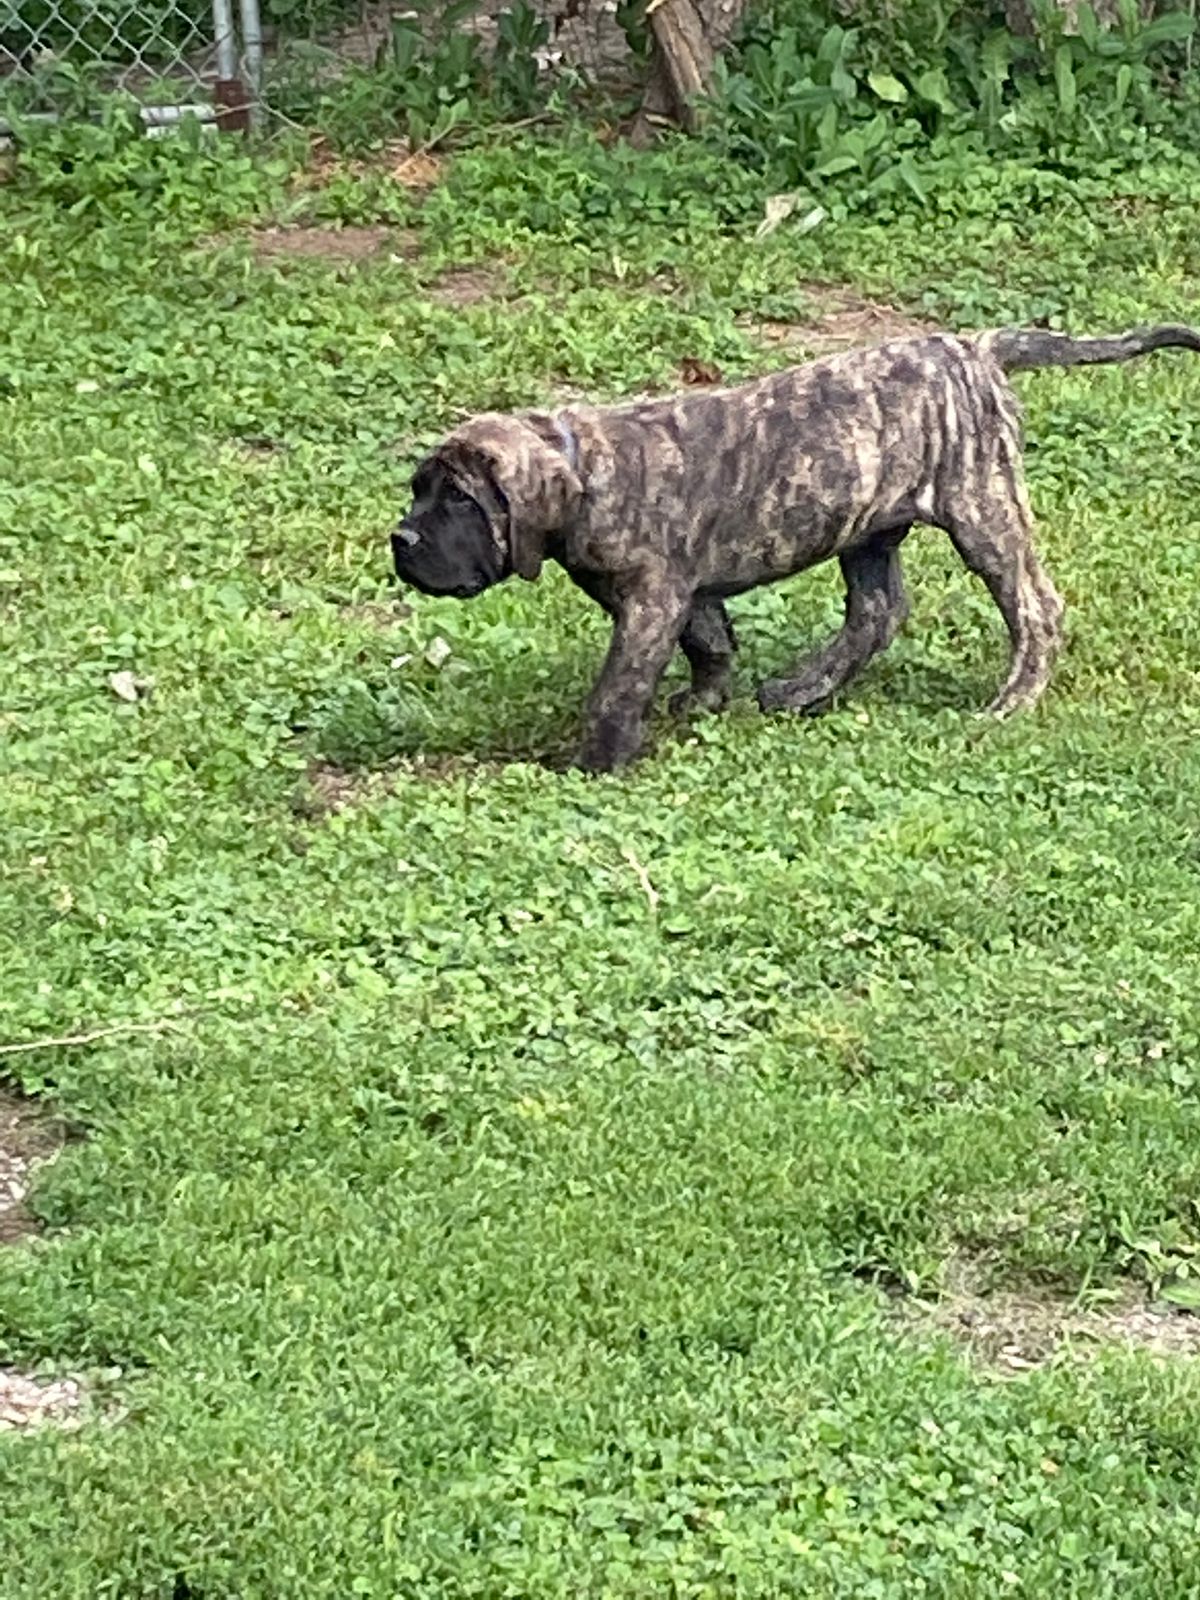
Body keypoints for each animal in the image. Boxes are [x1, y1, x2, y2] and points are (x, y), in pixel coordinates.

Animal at [392, 324, 1200, 771]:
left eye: (460, 501)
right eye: (417, 490)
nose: (400, 539)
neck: (584, 468)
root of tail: (973, 348)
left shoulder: (651, 600)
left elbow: (619, 685)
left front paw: (597, 762)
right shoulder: (684, 592)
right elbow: (710, 641)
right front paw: (703, 702)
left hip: (982, 509)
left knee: (1035, 606)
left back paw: (1010, 701)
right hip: (869, 527)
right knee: (877, 613)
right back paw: (801, 689)